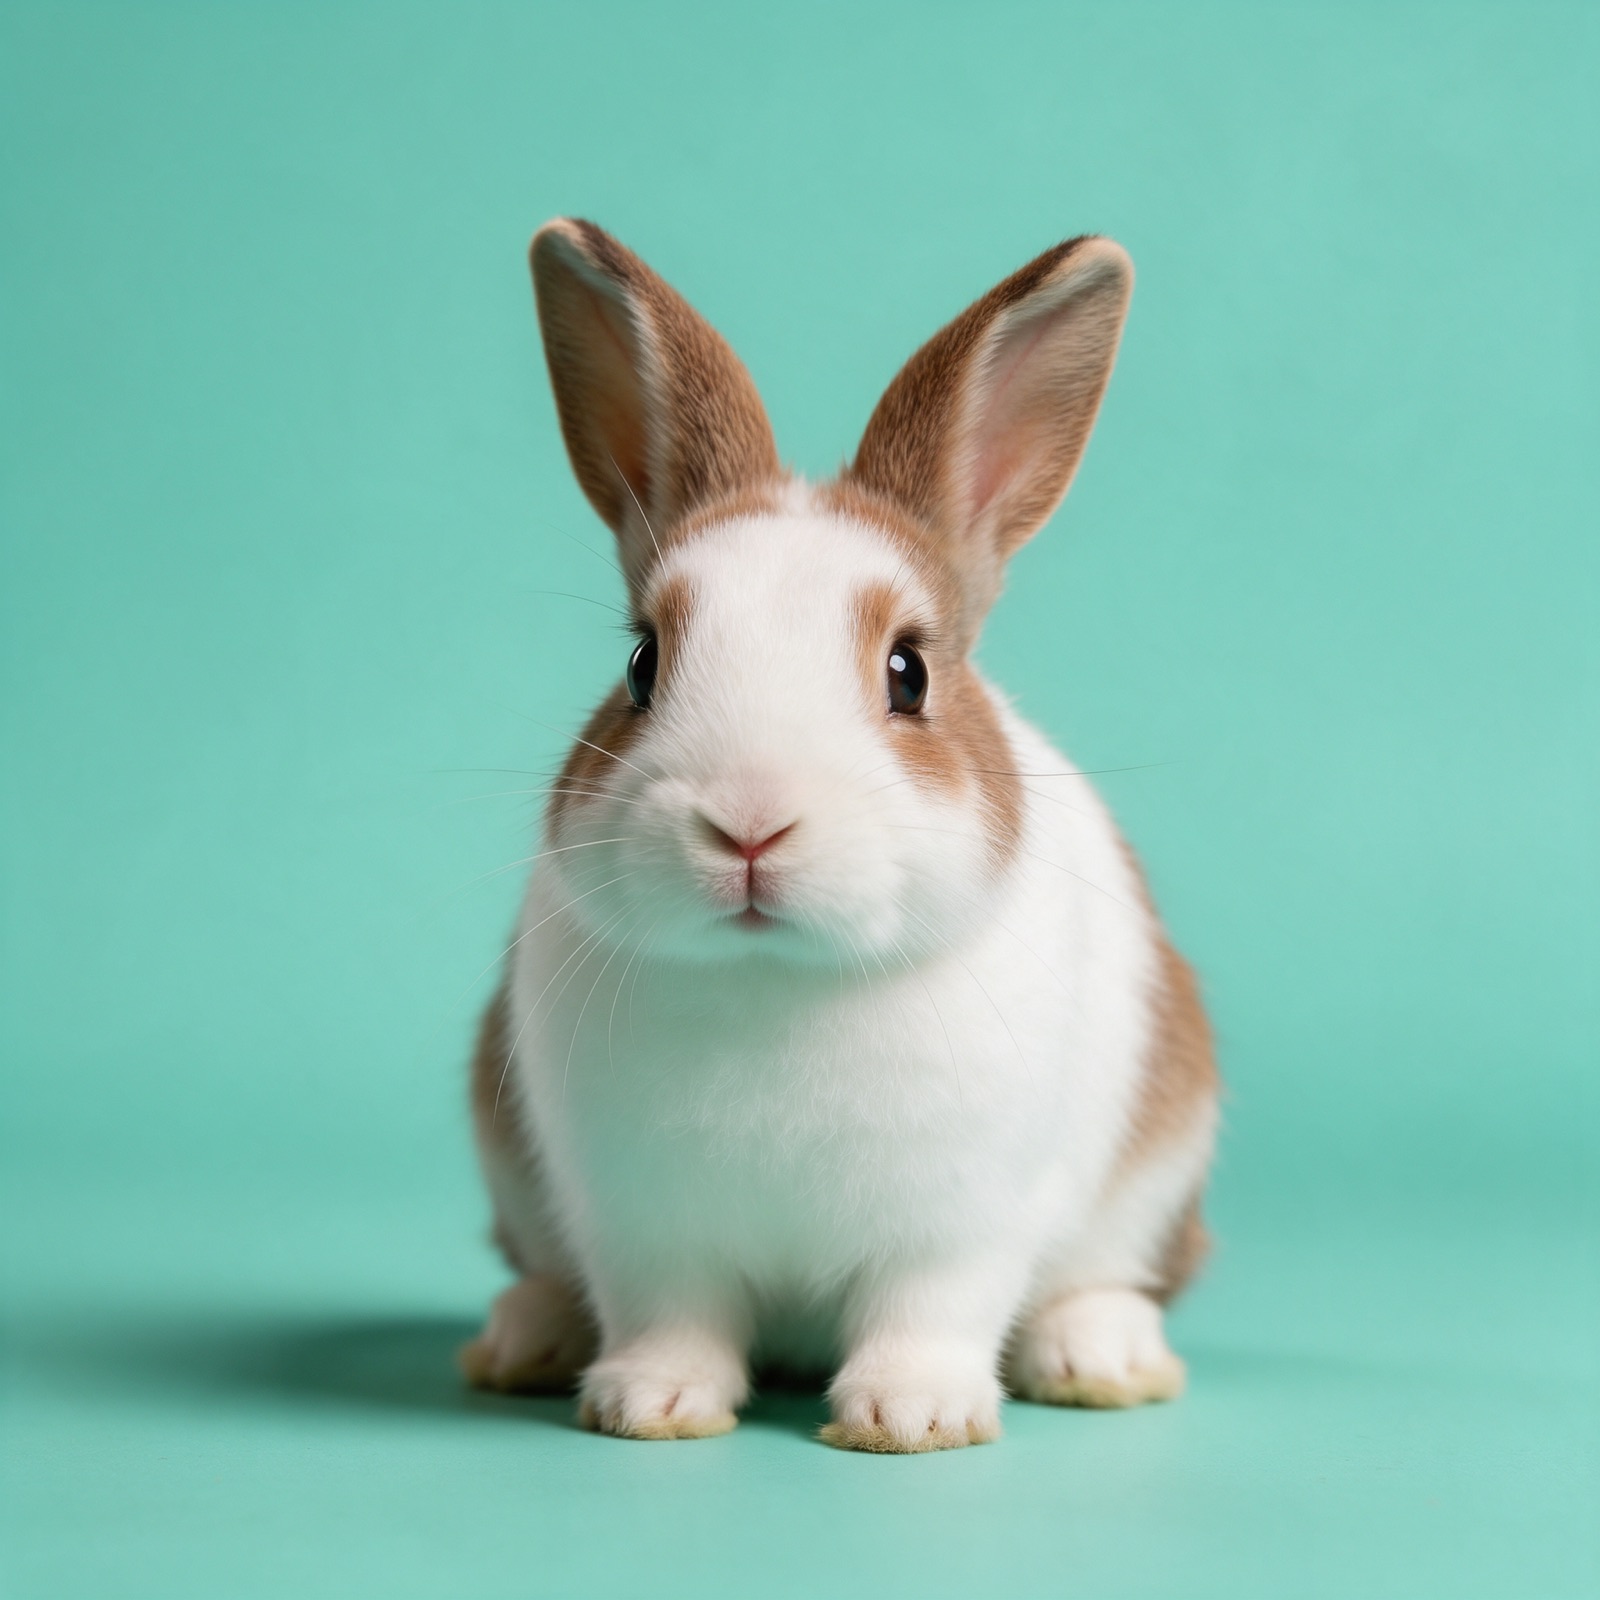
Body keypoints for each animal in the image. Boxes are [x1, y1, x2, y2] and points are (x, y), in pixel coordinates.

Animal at [458, 218, 1220, 1453]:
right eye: (642, 665)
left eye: (908, 672)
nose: (749, 823)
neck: (773, 981)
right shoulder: (642, 1224)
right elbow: (671, 1314)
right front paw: (650, 1405)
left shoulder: (961, 1224)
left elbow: (931, 1310)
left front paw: (909, 1417)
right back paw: (522, 1340)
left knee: (1113, 1279)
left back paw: (1099, 1359)